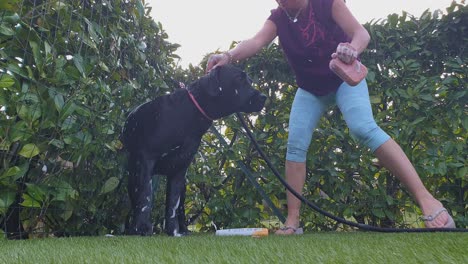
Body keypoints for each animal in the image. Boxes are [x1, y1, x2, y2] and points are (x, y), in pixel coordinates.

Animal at [120, 65, 266, 236]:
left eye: (250, 80)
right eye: (239, 79)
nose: (264, 97)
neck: (188, 114)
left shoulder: (178, 170)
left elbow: (173, 206)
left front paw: (173, 231)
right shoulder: (145, 161)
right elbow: (144, 198)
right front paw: (142, 227)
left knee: (180, 208)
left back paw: (183, 229)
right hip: (133, 175)